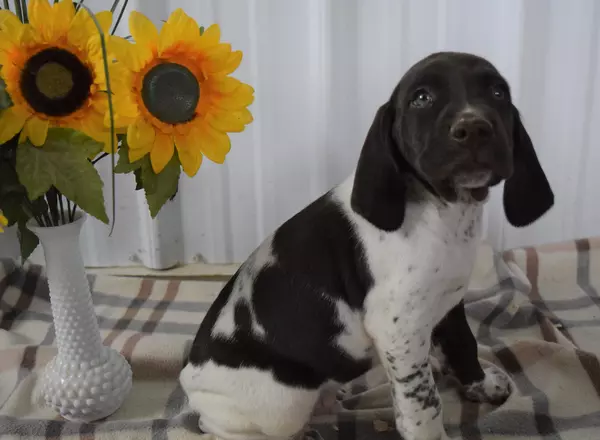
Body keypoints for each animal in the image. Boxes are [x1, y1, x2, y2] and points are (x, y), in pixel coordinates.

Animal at [180, 52, 556, 440]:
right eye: (421, 98)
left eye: (498, 93)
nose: (474, 128)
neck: (445, 212)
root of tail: (190, 380)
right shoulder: (398, 329)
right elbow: (423, 402)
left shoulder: (449, 302)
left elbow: (463, 343)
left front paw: (480, 384)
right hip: (280, 404)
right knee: (226, 428)